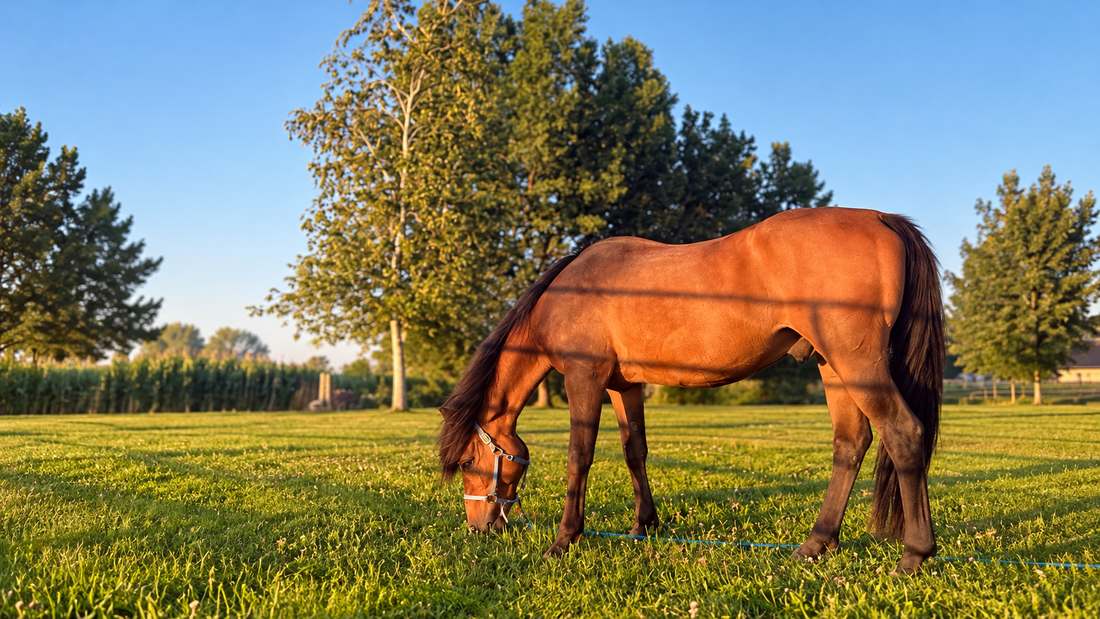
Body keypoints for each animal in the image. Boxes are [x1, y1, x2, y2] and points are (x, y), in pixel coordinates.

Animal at [437, 207, 944, 575]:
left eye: (466, 463)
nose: (478, 528)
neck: (570, 290)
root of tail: (880, 218)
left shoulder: (584, 379)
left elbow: (579, 457)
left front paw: (563, 540)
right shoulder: (624, 387)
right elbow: (634, 451)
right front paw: (643, 526)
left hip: (856, 363)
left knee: (903, 433)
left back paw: (913, 556)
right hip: (832, 366)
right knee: (851, 444)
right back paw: (816, 544)